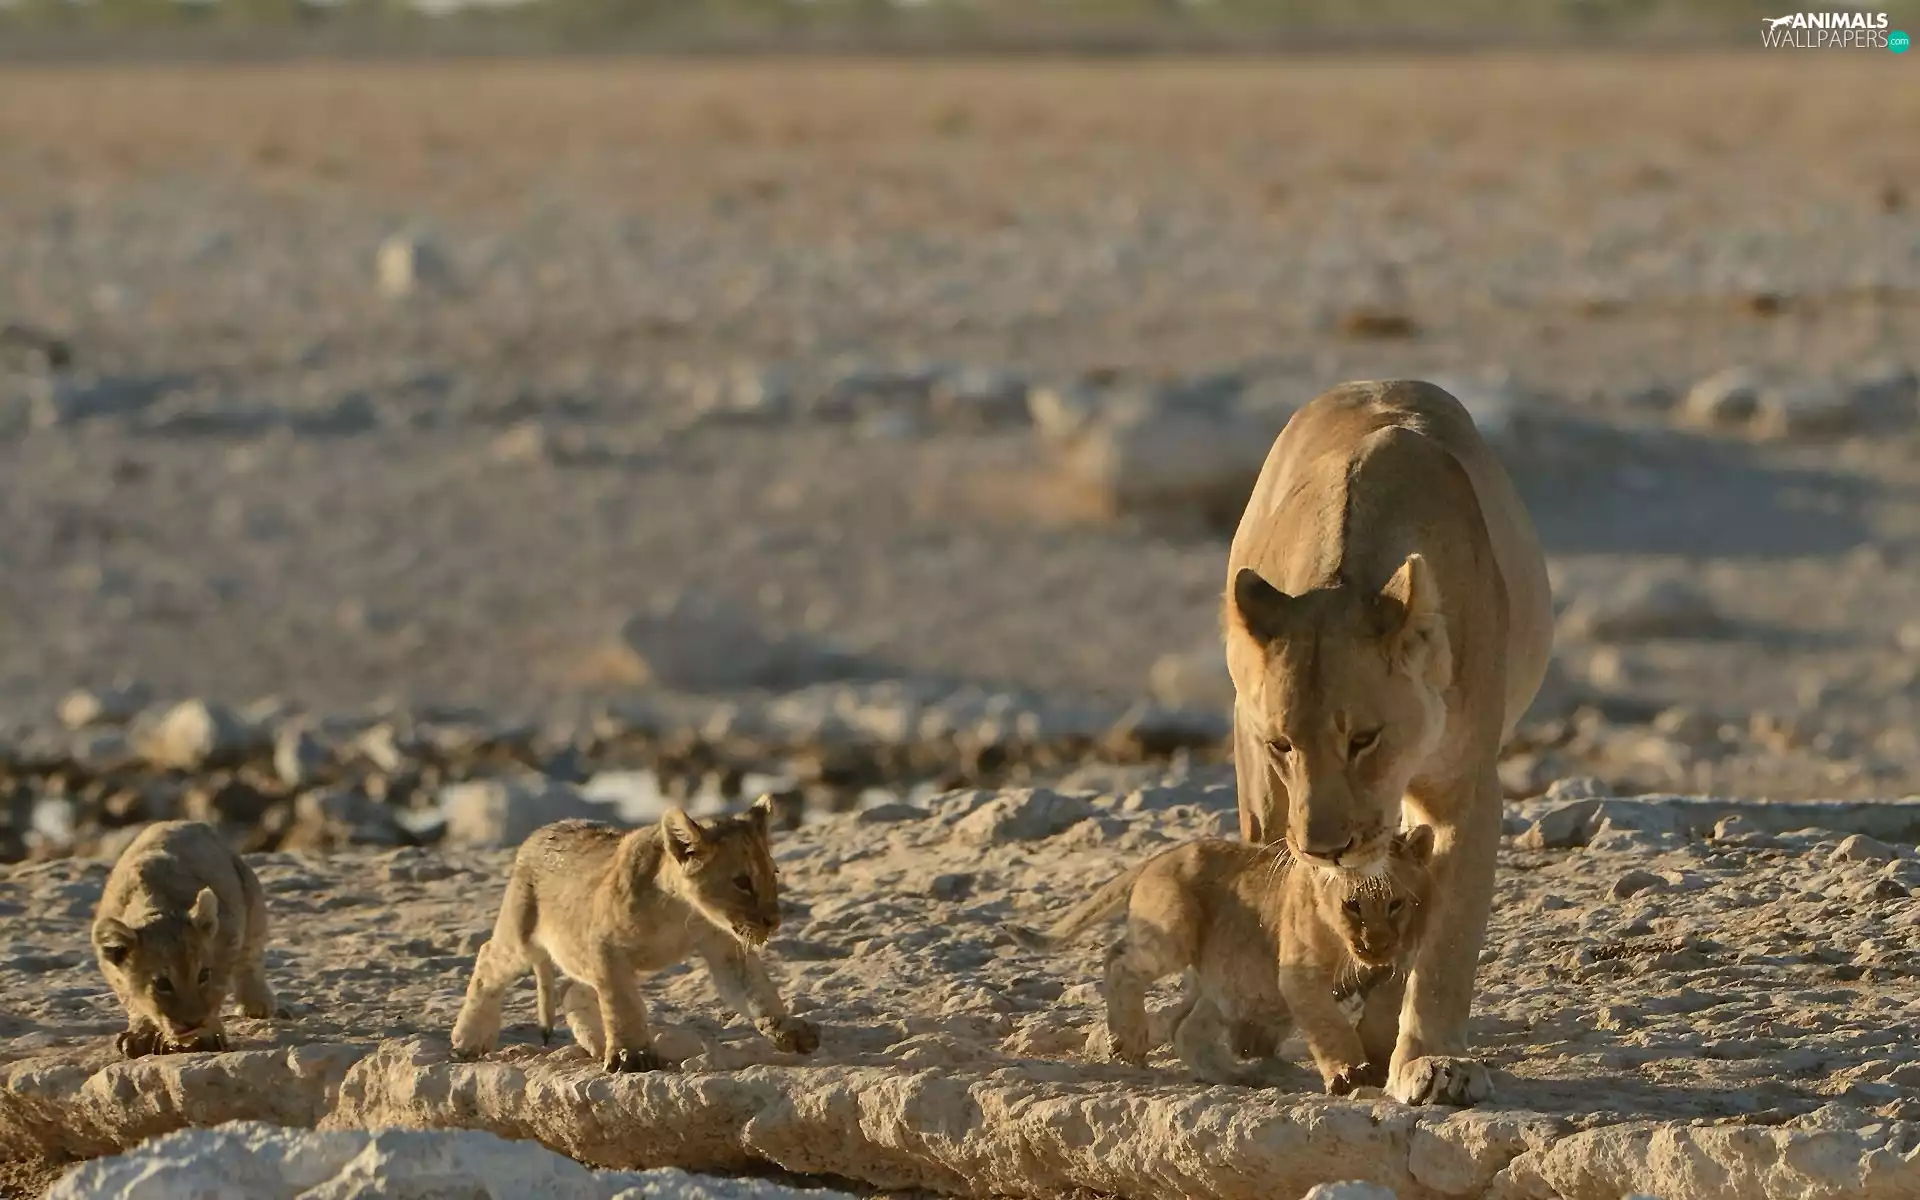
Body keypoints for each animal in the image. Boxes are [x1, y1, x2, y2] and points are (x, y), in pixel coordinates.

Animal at [1222, 380, 1553, 1106]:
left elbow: (1444, 940)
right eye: (1282, 744)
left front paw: (1431, 1062)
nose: (1325, 847)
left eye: (1364, 738)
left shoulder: (1466, 790)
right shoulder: (1261, 769)